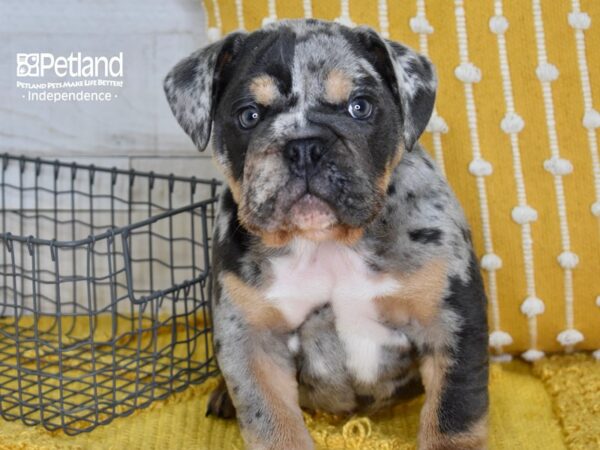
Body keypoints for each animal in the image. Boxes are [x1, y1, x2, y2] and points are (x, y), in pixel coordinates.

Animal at [164, 18, 488, 450]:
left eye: (360, 106)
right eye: (249, 115)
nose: (304, 146)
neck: (326, 244)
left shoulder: (451, 321)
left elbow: (454, 416)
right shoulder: (251, 342)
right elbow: (275, 425)